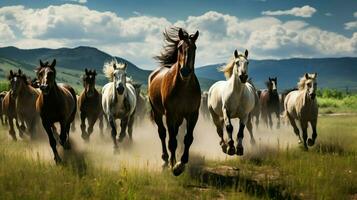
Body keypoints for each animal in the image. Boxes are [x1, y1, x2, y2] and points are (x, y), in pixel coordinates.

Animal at [147, 27, 200, 177]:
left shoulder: (193, 115)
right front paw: (173, 166)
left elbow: (188, 138)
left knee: (175, 134)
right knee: (163, 134)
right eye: (180, 48)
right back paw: (165, 160)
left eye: (194, 48)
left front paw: (181, 163)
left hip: (179, 118)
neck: (184, 87)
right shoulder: (170, 115)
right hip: (158, 113)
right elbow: (171, 141)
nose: (185, 71)